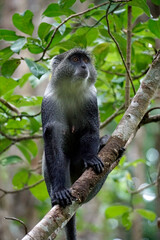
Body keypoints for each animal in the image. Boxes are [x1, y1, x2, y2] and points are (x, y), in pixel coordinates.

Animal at [41, 47, 113, 239]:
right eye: (74, 59)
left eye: (85, 60)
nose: (83, 66)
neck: (71, 91)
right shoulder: (50, 101)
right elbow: (53, 137)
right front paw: (59, 191)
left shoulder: (90, 99)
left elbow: (90, 128)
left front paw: (91, 158)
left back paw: (104, 144)